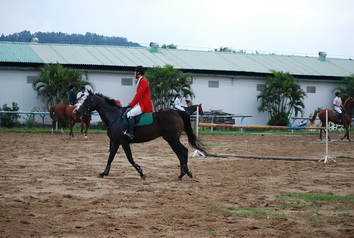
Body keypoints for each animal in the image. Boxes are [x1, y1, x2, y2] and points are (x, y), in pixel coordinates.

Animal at [76, 91, 206, 180]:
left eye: (87, 101)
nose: (77, 112)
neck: (114, 117)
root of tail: (177, 112)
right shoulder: (115, 142)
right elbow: (110, 157)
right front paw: (104, 173)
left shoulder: (123, 141)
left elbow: (129, 158)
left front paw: (141, 172)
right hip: (172, 140)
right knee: (180, 153)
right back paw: (183, 173)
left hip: (172, 139)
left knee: (183, 151)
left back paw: (184, 173)